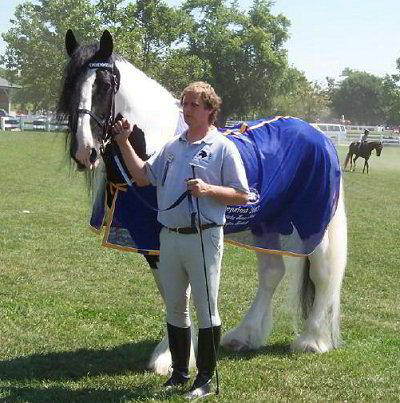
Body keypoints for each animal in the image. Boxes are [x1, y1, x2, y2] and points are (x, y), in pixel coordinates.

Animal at [57, 30, 348, 378]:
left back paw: (313, 340)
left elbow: (184, 290)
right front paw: (175, 351)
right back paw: (245, 335)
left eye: (103, 84)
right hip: (266, 224)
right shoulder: (150, 240)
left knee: (322, 273)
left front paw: (174, 355)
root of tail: (318, 134)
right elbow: (171, 290)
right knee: (271, 273)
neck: (158, 147)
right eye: (70, 85)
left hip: (310, 224)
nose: (83, 151)